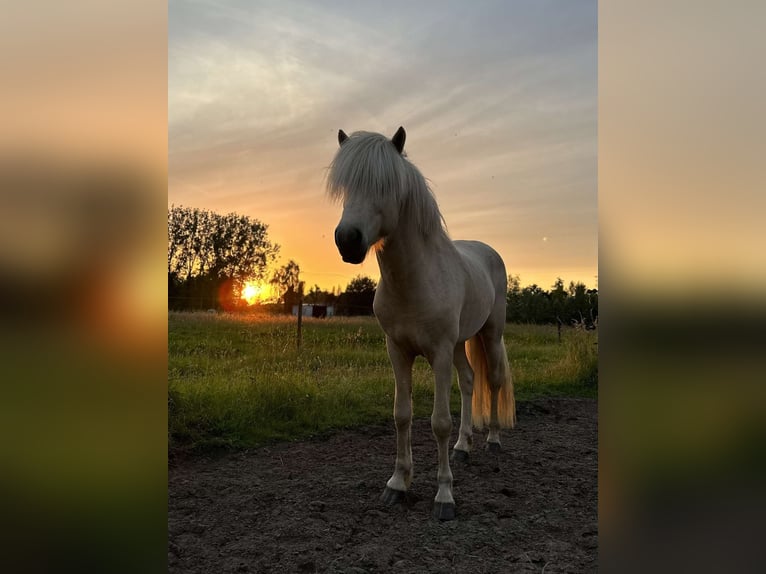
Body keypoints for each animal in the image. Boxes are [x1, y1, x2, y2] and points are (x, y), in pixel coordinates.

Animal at [326, 126, 516, 520]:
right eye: (347, 186)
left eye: (385, 185)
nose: (348, 240)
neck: (413, 281)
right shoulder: (398, 351)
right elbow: (402, 415)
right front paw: (398, 484)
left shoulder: (438, 353)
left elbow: (439, 422)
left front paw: (444, 496)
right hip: (460, 345)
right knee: (469, 381)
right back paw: (463, 448)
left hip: (489, 335)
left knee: (492, 381)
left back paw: (492, 440)